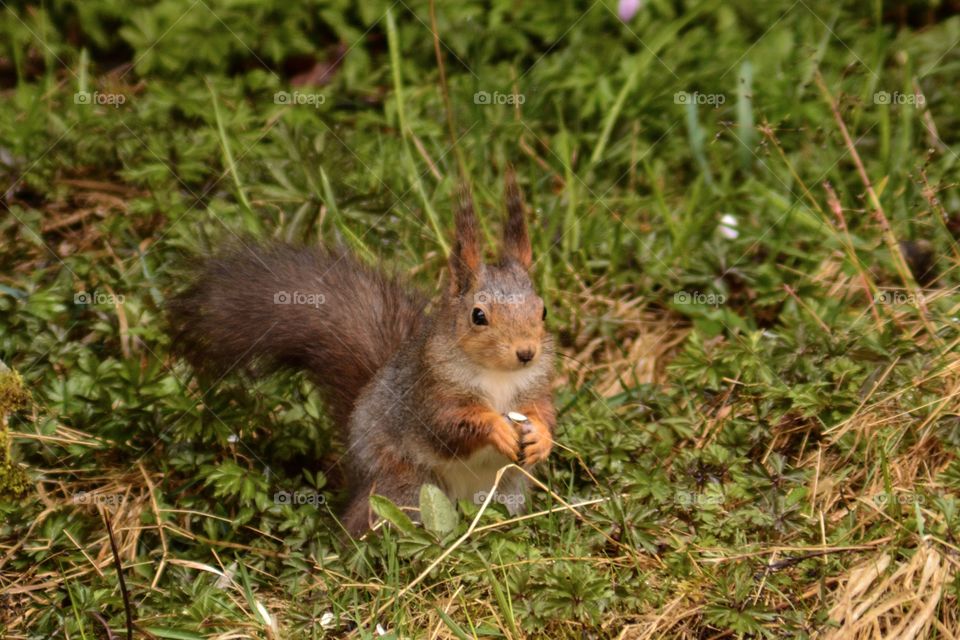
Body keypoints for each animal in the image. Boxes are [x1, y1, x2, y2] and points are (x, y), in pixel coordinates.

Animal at [168, 169, 555, 535]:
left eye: (543, 310)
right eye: (478, 316)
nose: (526, 353)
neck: (498, 376)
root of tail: (359, 480)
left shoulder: (535, 386)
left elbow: (544, 412)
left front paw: (541, 438)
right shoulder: (428, 390)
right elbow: (446, 426)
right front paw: (497, 428)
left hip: (504, 492)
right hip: (407, 489)